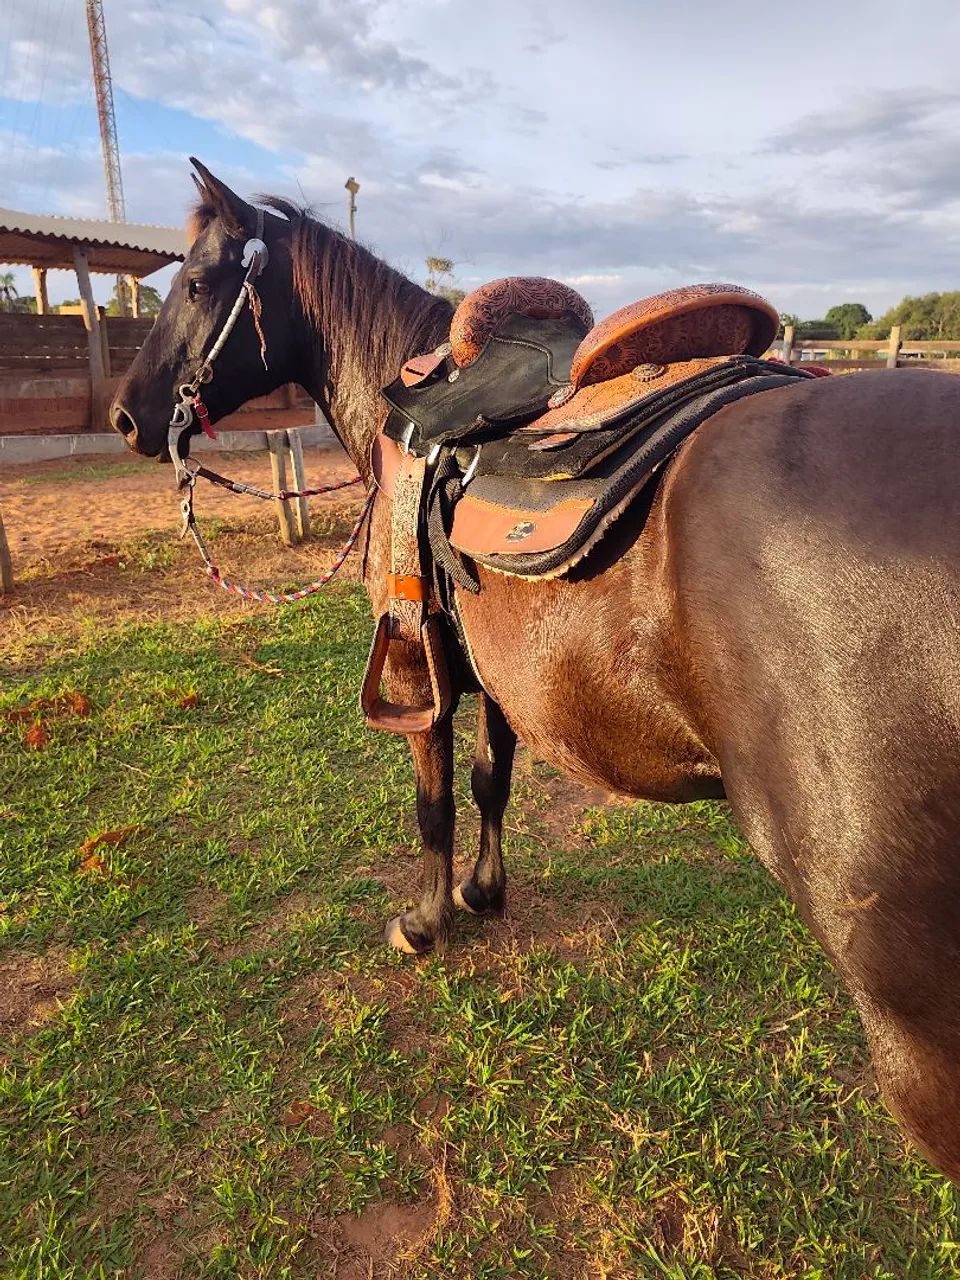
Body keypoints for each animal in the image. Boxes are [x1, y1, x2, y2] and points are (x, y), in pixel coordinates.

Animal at [112, 159, 960, 1184]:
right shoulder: (500, 679)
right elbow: (490, 782)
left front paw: (427, 920)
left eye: (198, 283)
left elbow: (435, 802)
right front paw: (484, 893)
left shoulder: (421, 667)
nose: (127, 417)